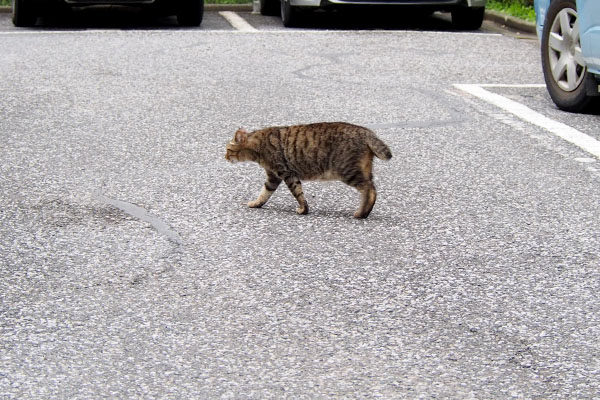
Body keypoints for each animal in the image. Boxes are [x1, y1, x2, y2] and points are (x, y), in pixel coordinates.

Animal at [225, 122, 394, 219]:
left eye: (227, 149)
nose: (224, 157)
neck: (258, 145)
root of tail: (366, 132)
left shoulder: (286, 173)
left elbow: (297, 193)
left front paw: (303, 209)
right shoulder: (273, 177)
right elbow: (264, 193)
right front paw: (256, 203)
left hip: (348, 171)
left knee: (369, 190)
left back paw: (361, 214)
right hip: (363, 170)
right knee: (373, 188)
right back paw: (365, 212)